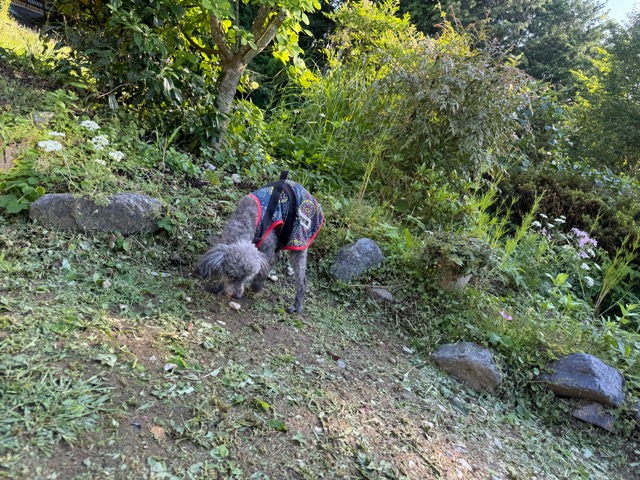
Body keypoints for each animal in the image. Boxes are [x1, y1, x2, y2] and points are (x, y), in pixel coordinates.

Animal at [198, 172, 323, 313]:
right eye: (230, 274)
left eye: (247, 277)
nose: (236, 295)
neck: (247, 220)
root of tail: (310, 196)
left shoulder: (267, 248)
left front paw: (256, 286)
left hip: (298, 239)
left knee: (301, 279)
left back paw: (297, 304)